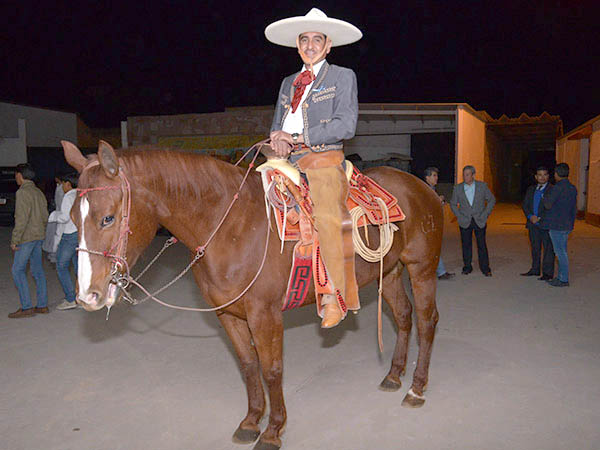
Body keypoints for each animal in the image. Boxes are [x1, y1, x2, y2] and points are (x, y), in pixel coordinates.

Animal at [63, 141, 442, 450]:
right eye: (71, 218)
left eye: (108, 218)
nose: (88, 296)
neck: (230, 226)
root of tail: (422, 187)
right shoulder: (228, 314)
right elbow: (247, 365)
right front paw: (250, 422)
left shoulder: (265, 315)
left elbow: (272, 369)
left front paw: (273, 431)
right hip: (389, 273)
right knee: (404, 316)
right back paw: (394, 376)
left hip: (421, 269)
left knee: (426, 321)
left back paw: (416, 388)